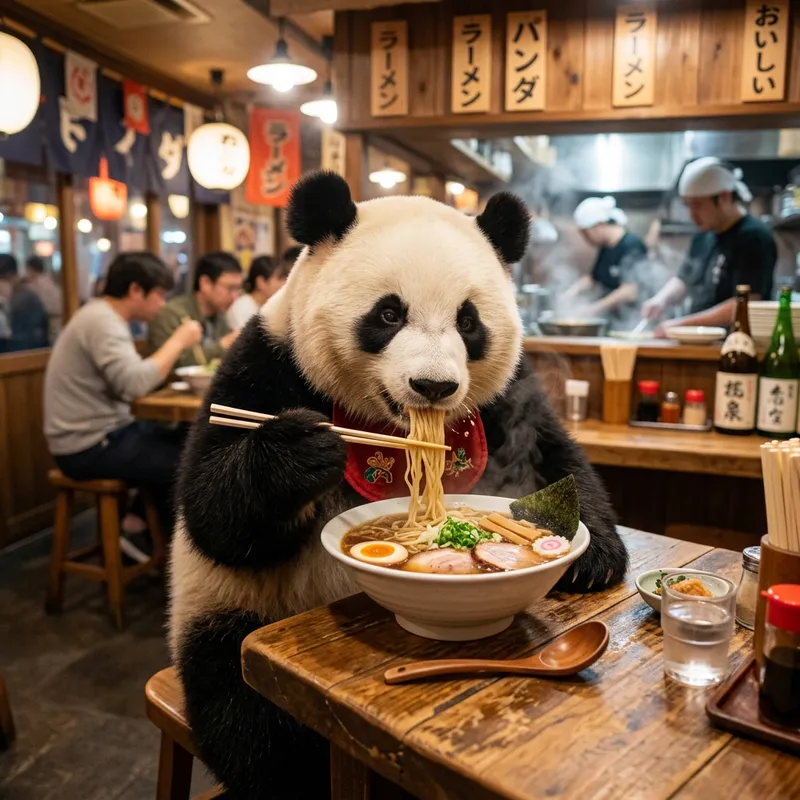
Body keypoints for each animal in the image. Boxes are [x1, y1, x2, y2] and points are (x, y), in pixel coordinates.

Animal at [169, 171, 628, 799]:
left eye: (468, 321)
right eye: (388, 315)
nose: (434, 386)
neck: (384, 426)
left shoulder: (509, 398)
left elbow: (553, 456)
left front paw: (594, 559)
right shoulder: (265, 365)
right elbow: (215, 516)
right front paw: (301, 449)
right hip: (229, 613)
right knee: (249, 721)